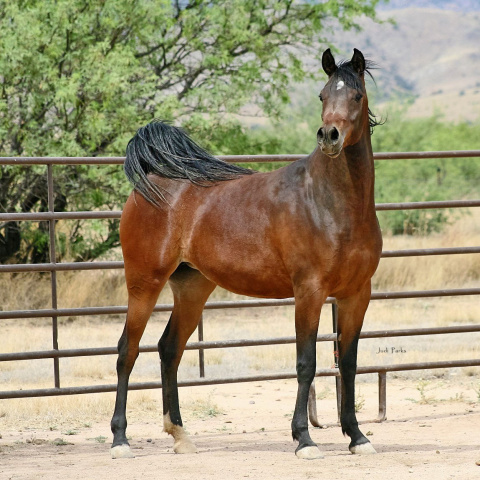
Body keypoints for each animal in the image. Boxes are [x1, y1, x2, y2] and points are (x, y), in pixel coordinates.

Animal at [109, 48, 382, 462]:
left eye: (356, 96)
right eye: (321, 96)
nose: (329, 136)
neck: (331, 203)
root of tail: (151, 183)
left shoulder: (356, 295)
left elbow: (347, 364)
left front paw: (357, 437)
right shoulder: (309, 292)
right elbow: (306, 363)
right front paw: (304, 440)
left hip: (192, 289)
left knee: (169, 349)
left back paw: (181, 436)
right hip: (144, 283)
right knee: (128, 350)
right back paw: (120, 440)